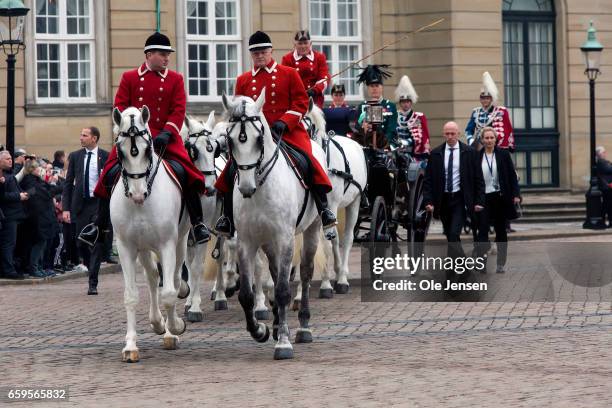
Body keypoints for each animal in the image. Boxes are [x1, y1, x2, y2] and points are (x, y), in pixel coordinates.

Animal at [111, 106, 190, 364]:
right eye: (121, 151)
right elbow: (131, 296)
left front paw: (174, 327)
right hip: (144, 248)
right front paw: (130, 346)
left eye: (148, 149)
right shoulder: (126, 247)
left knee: (173, 280)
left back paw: (169, 330)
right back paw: (157, 322)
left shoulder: (167, 244)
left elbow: (169, 293)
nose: (138, 194)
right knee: (154, 277)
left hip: (180, 241)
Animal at [222, 91, 330, 358]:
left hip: (311, 230)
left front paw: (283, 342)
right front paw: (259, 330)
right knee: (273, 270)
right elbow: (247, 295)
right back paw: (277, 324)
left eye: (259, 138)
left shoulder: (285, 238)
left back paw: (302, 326)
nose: (246, 187)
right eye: (230, 140)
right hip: (268, 241)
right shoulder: (246, 241)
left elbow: (282, 290)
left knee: (304, 272)